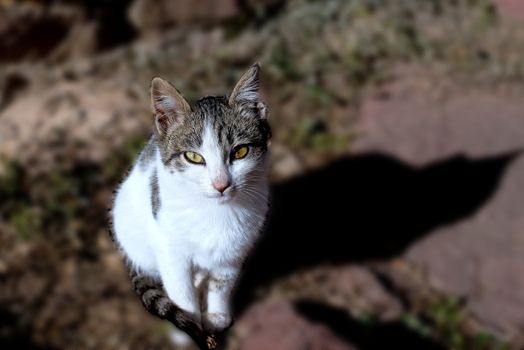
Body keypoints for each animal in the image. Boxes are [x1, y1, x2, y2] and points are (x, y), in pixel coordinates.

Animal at [113, 63, 272, 340]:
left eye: (240, 151)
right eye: (193, 157)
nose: (221, 184)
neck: (215, 212)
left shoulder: (235, 249)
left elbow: (222, 282)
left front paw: (216, 316)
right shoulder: (169, 248)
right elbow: (180, 291)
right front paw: (188, 327)